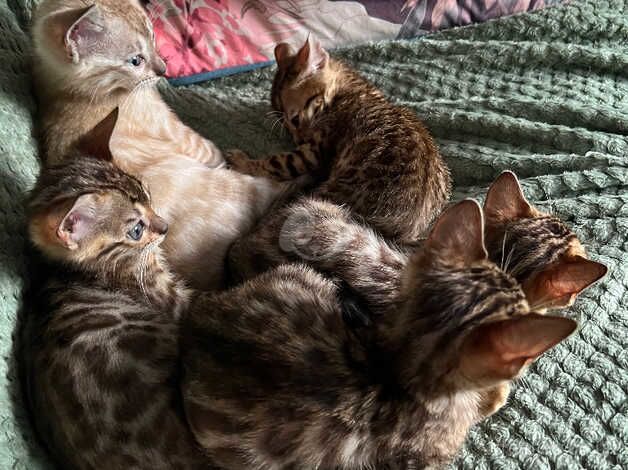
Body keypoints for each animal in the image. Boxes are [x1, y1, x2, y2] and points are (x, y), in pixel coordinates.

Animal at [31, 0, 292, 290]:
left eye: (154, 38)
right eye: (136, 60)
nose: (163, 70)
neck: (70, 91)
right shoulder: (181, 133)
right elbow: (214, 153)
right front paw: (231, 158)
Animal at [226, 36, 452, 242]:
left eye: (295, 120)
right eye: (288, 129)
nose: (299, 140)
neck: (350, 86)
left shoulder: (314, 151)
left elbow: (277, 162)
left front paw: (242, 161)